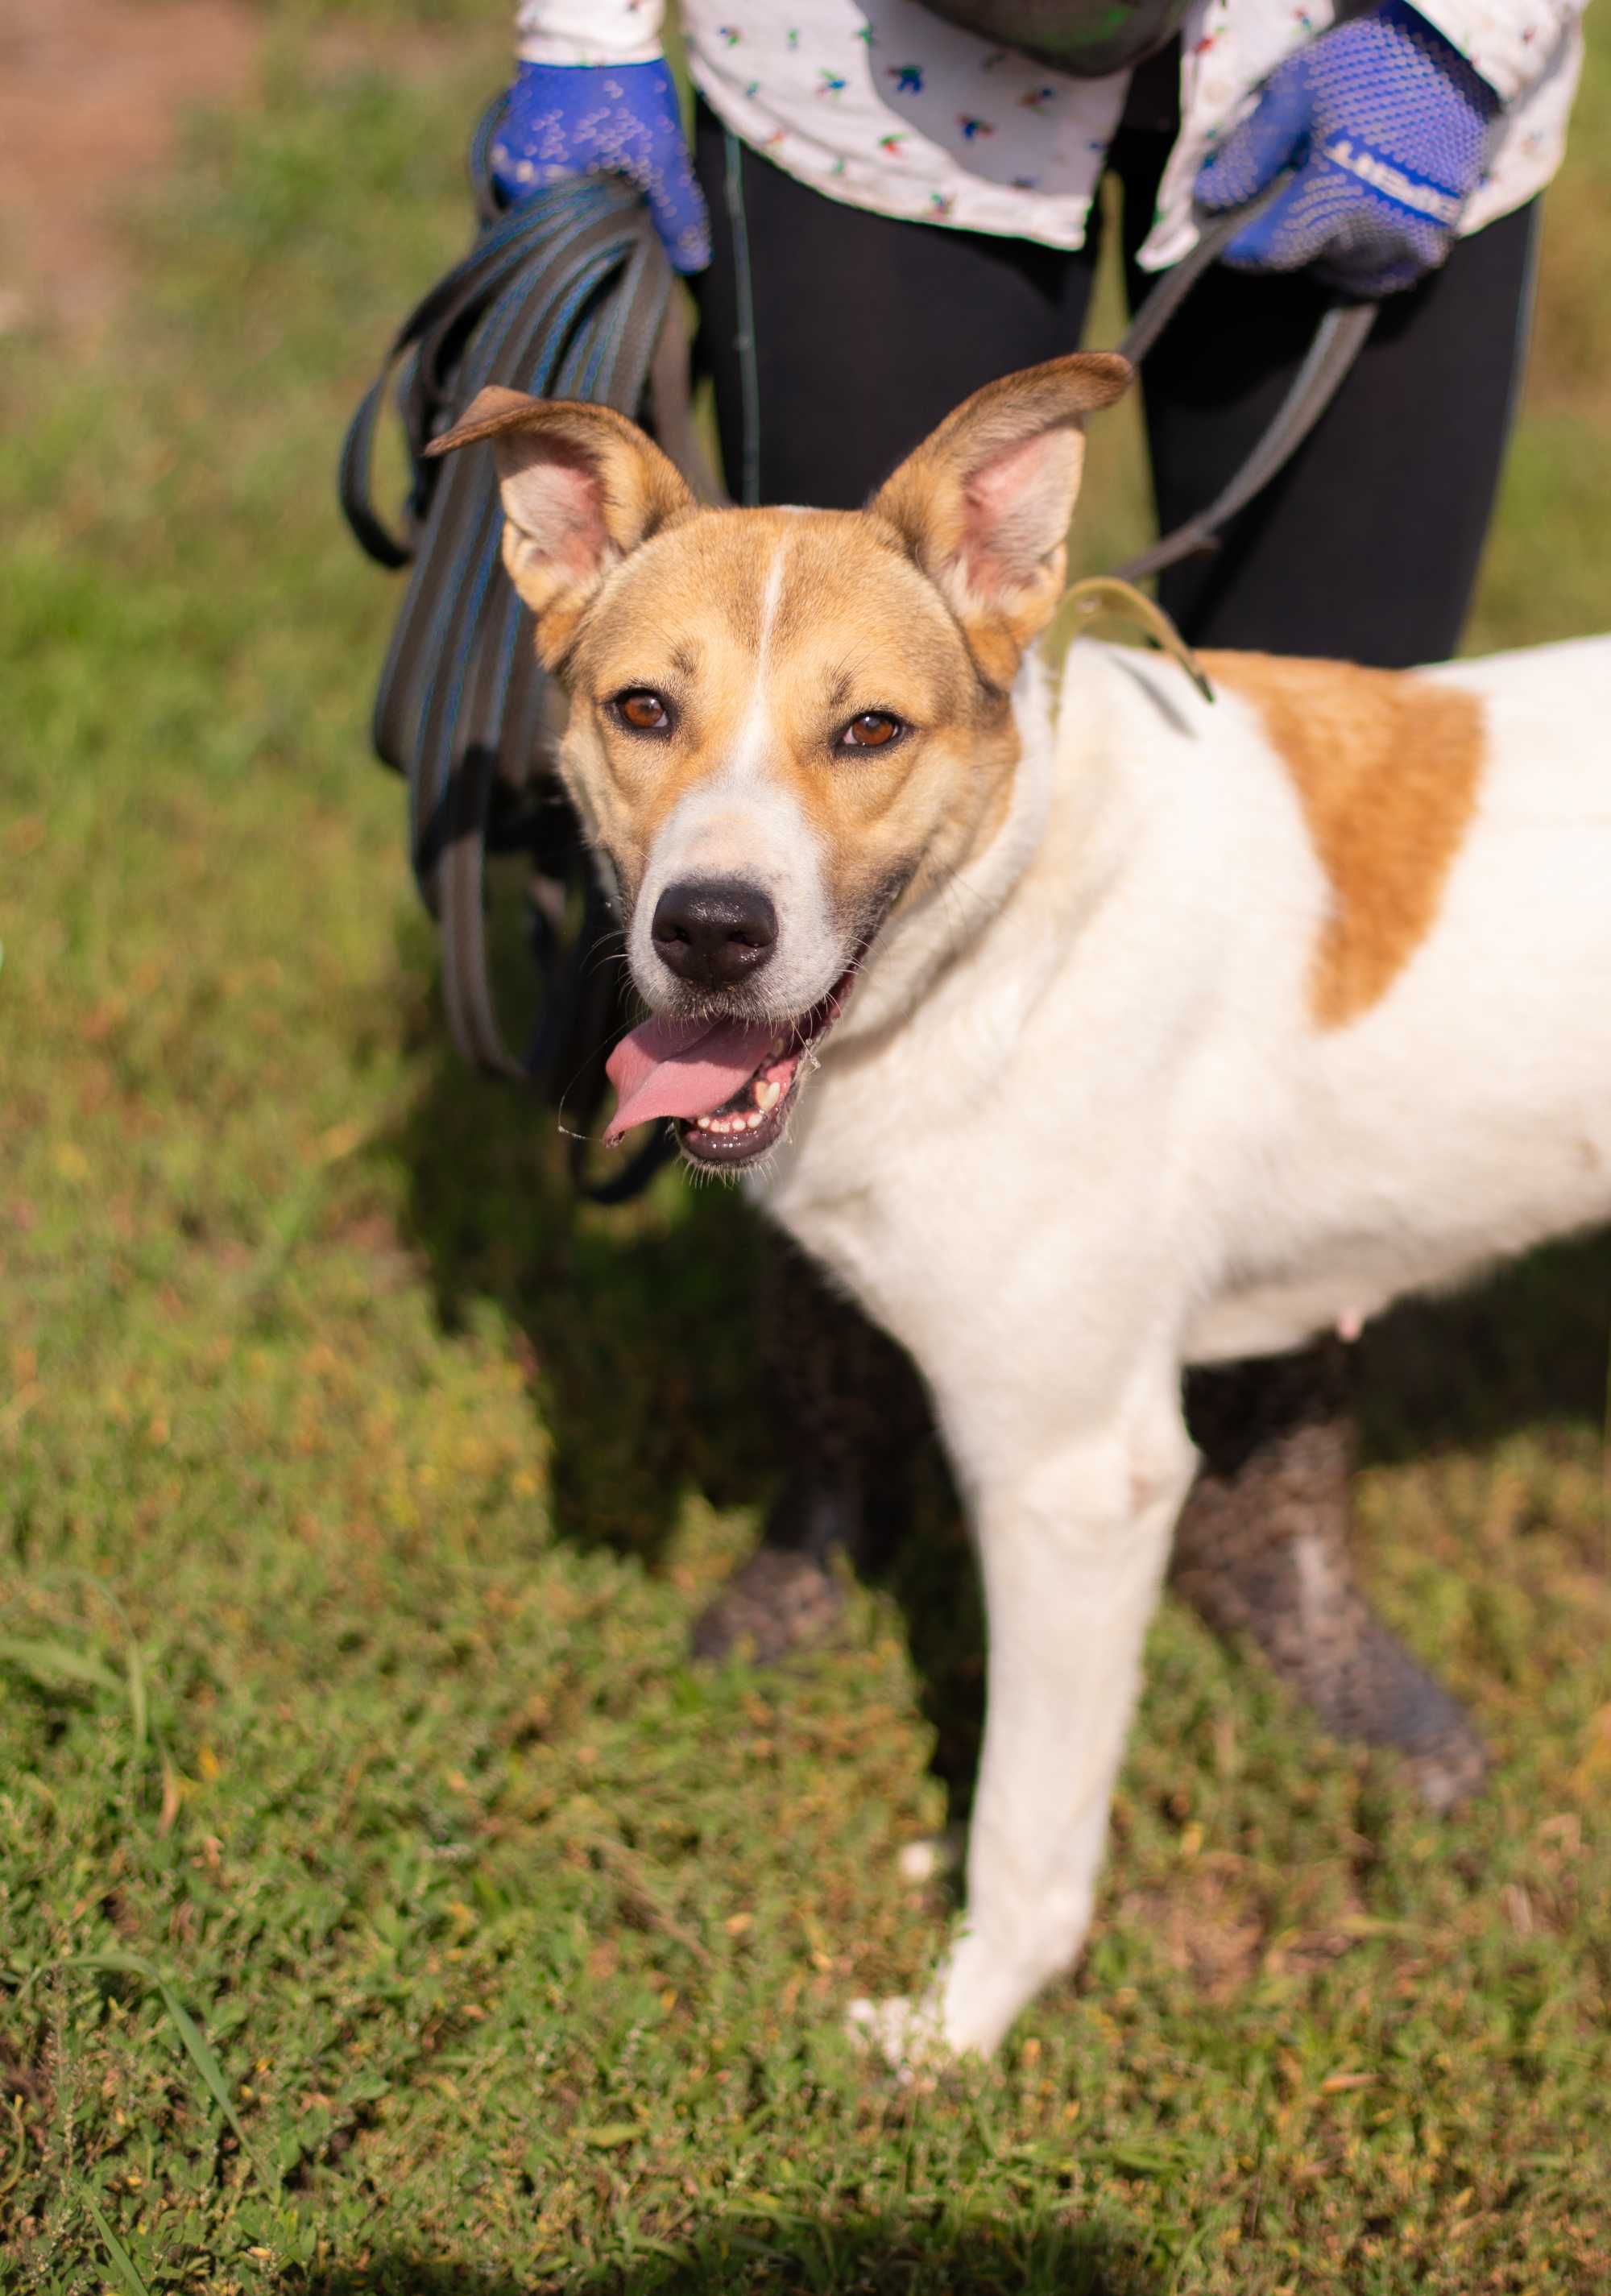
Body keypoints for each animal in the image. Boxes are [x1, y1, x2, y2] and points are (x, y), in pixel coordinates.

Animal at [429, 358, 1611, 2066]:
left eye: (870, 728)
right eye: (643, 708)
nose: (710, 931)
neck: (1015, 908)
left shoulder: (1074, 1479)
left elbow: (1025, 1829)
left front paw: (955, 2029)